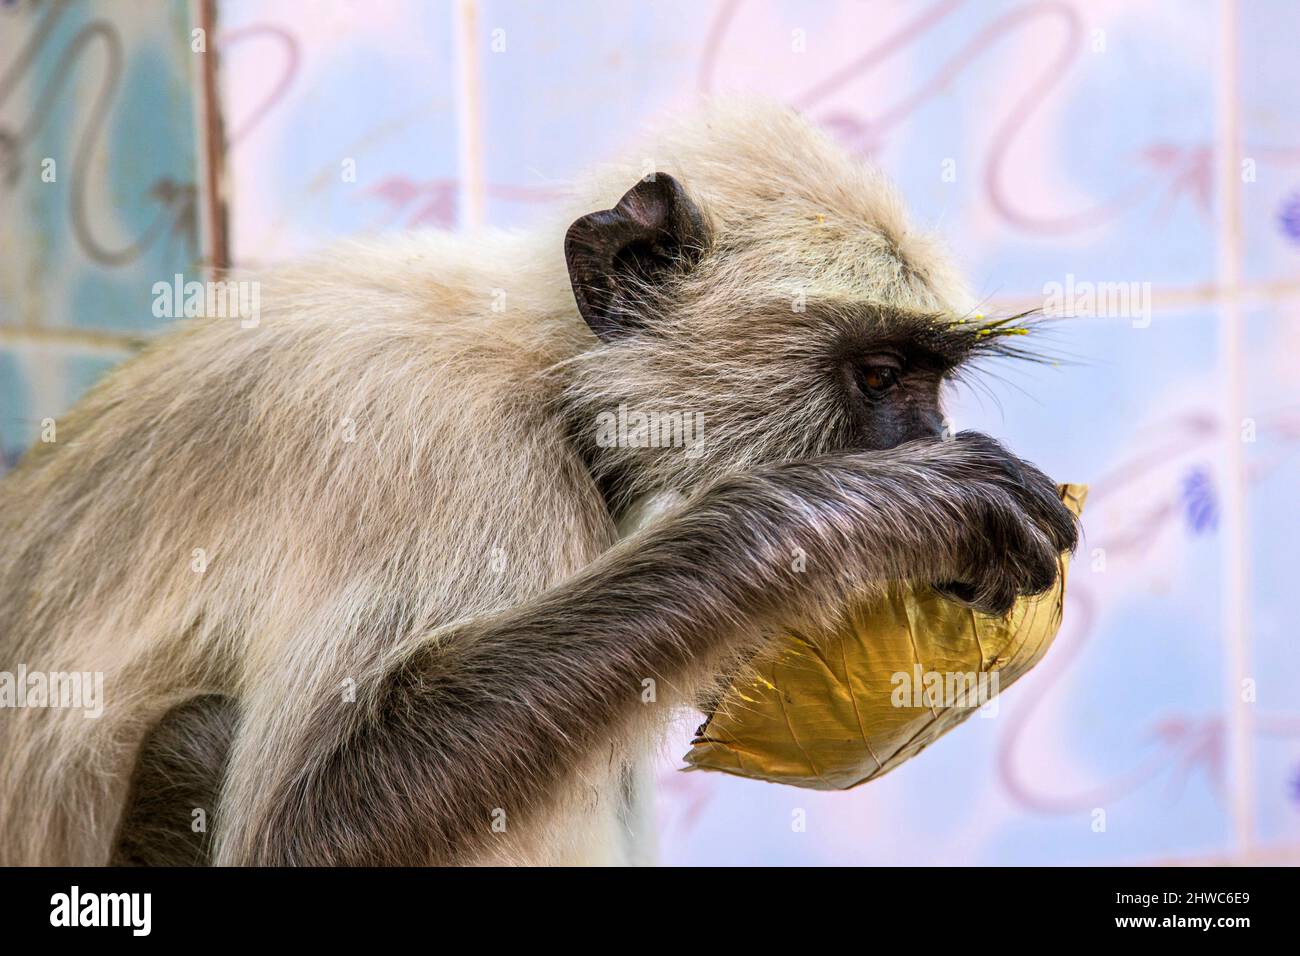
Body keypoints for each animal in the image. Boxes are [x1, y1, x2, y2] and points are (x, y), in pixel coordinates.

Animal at [0, 99, 1076, 866]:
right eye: (882, 377)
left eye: (932, 382)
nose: (927, 436)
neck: (546, 370)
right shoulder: (438, 436)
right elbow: (302, 828)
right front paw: (860, 514)